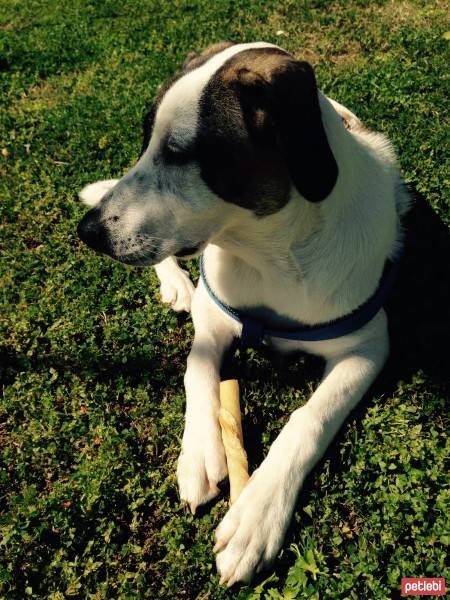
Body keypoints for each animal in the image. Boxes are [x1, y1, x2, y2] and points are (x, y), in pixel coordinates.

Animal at [77, 42, 412, 584]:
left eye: (181, 155)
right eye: (146, 141)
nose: (88, 231)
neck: (270, 256)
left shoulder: (367, 347)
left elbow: (308, 419)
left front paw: (256, 516)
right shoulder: (214, 320)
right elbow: (195, 371)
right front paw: (198, 453)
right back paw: (176, 284)